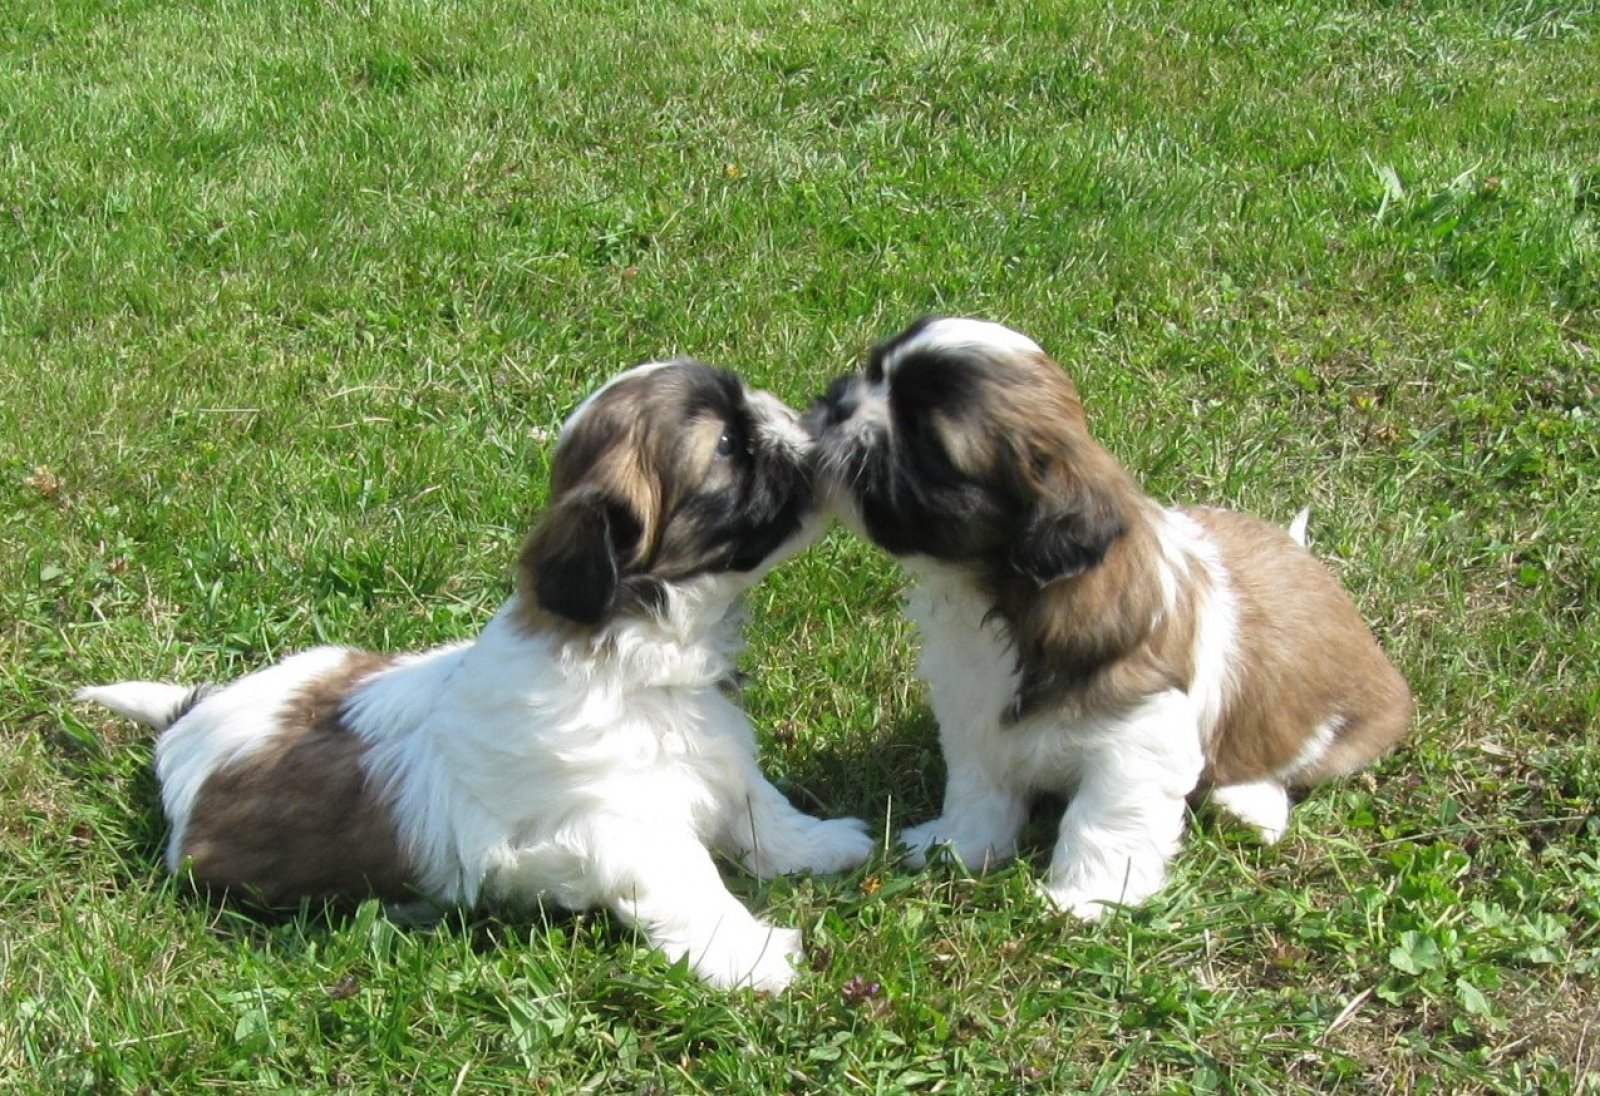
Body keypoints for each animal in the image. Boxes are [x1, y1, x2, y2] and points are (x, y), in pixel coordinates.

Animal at [76, 358, 876, 992]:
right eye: (729, 444)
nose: (805, 419)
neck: (642, 648)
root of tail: (189, 721)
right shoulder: (621, 820)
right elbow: (691, 881)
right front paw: (751, 955)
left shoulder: (712, 756)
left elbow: (759, 806)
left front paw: (823, 844)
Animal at [812, 313, 1414, 915]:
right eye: (874, 370)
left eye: (922, 437)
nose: (839, 403)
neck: (1001, 599)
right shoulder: (973, 710)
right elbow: (979, 788)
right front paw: (957, 845)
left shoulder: (1137, 741)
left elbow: (1101, 820)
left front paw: (1083, 899)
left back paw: (1248, 803)